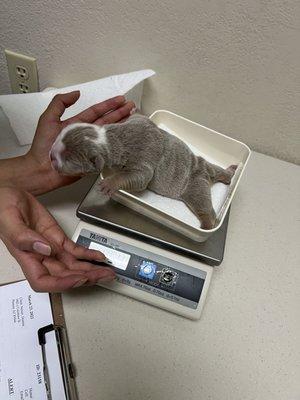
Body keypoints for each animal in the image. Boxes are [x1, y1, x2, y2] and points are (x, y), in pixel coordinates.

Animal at [49, 114, 237, 230]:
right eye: (58, 137)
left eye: (67, 158)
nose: (50, 156)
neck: (110, 139)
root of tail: (204, 174)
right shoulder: (139, 123)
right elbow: (141, 118)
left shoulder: (142, 157)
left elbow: (140, 177)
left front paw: (109, 183)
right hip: (206, 165)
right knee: (217, 170)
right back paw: (229, 173)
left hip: (194, 185)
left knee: (202, 205)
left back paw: (207, 223)